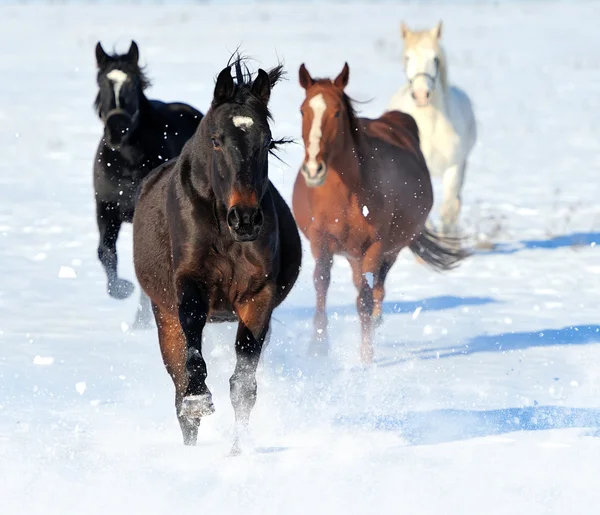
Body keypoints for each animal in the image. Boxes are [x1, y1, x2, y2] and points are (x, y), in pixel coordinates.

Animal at [94, 42, 204, 328]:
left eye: (133, 84)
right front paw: (122, 289)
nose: (117, 130)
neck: (127, 162)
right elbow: (105, 252)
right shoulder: (106, 208)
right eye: (101, 81)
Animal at [135, 58, 304, 454]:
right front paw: (199, 399)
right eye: (216, 140)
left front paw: (239, 450)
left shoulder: (258, 294)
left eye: (267, 141)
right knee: (178, 387)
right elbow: (192, 342)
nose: (245, 218)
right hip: (163, 315)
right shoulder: (189, 283)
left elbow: (243, 385)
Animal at [292, 62, 466, 364]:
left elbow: (365, 299)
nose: (313, 169)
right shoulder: (321, 243)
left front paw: (366, 358)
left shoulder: (374, 247)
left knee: (377, 290)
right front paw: (318, 347)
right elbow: (321, 285)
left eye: (337, 112)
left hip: (388, 251)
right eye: (304, 110)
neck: (347, 194)